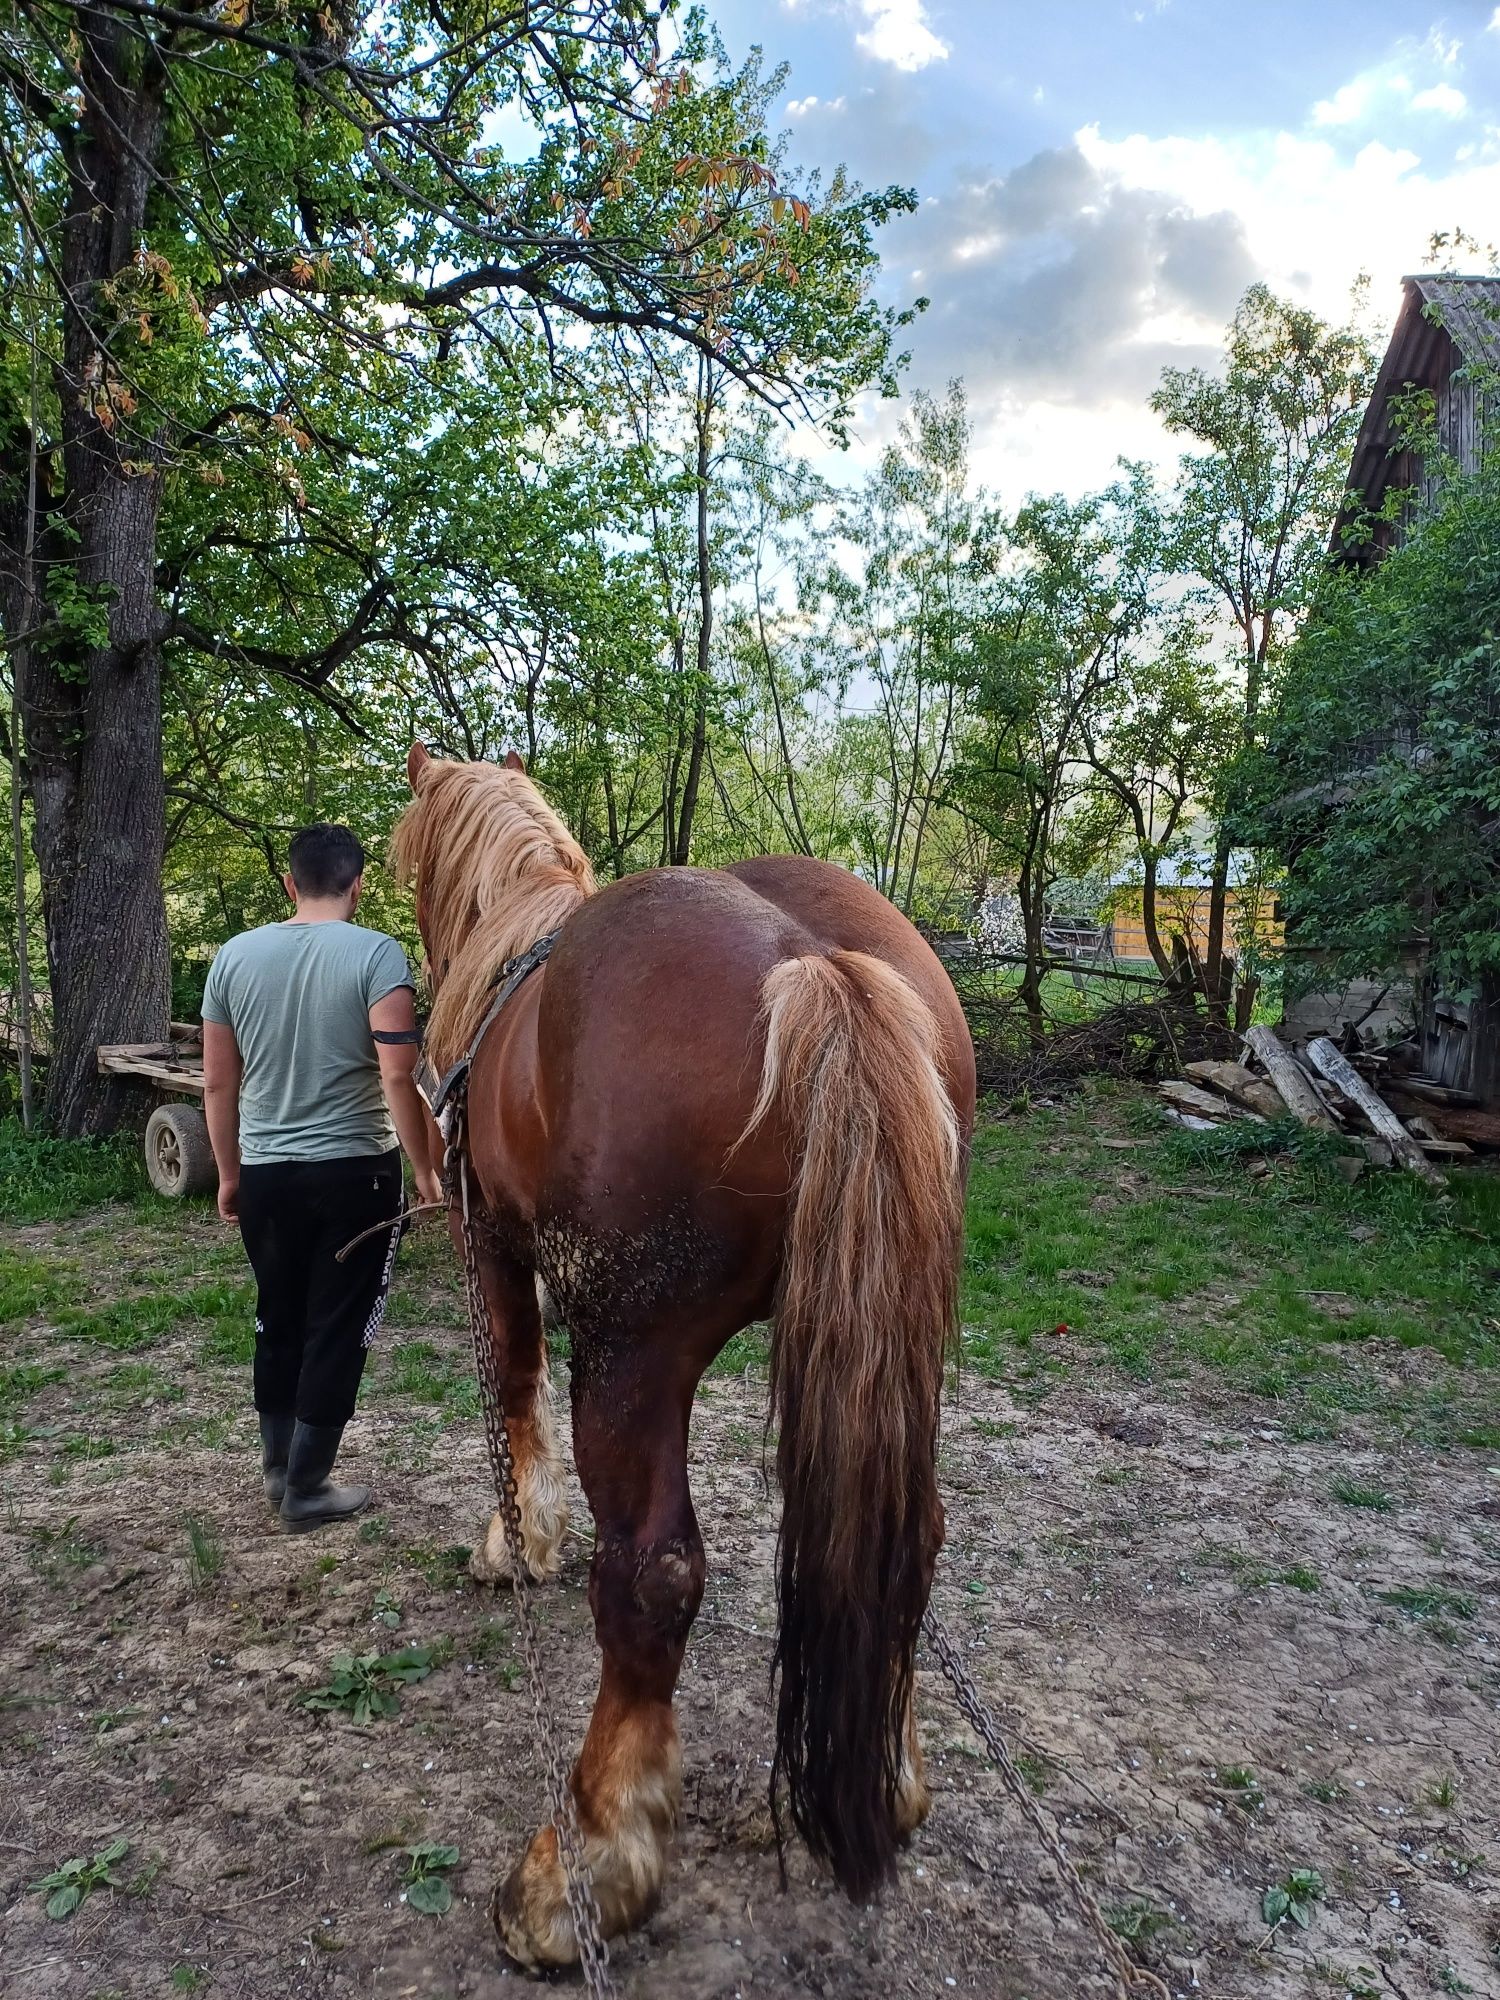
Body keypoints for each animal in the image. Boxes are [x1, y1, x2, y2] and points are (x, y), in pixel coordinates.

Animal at [390, 748, 976, 1968]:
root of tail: (815, 965)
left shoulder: (487, 1243)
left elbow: (510, 1388)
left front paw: (515, 1541)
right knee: (906, 1539)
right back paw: (886, 1781)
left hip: (631, 1356)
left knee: (652, 1577)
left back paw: (583, 1865)